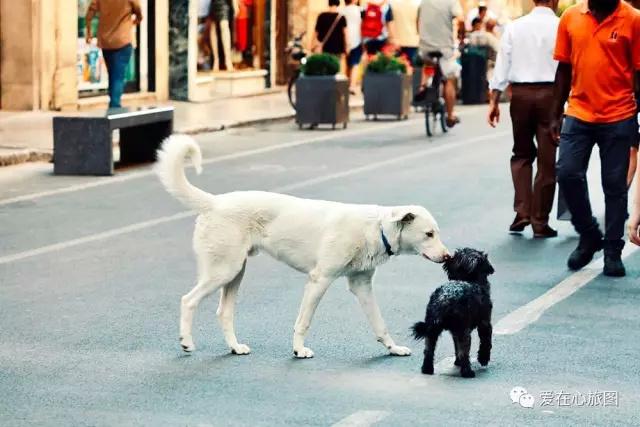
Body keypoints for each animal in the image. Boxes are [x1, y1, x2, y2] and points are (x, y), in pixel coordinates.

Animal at [156, 136, 450, 358]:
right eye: (429, 234)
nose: (449, 257)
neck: (376, 228)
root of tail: (214, 202)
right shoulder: (319, 281)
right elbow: (303, 322)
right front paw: (298, 350)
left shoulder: (362, 286)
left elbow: (380, 324)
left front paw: (393, 348)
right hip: (223, 271)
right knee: (188, 300)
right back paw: (186, 342)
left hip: (235, 272)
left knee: (223, 313)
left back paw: (235, 347)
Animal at [410, 249, 496, 380]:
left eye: (456, 257)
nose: (448, 258)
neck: (471, 280)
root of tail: (443, 300)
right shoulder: (485, 323)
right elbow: (485, 343)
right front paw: (483, 359)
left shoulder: (454, 332)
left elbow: (456, 347)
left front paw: (457, 362)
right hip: (464, 332)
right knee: (464, 352)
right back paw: (467, 372)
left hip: (431, 331)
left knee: (428, 350)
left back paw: (427, 369)